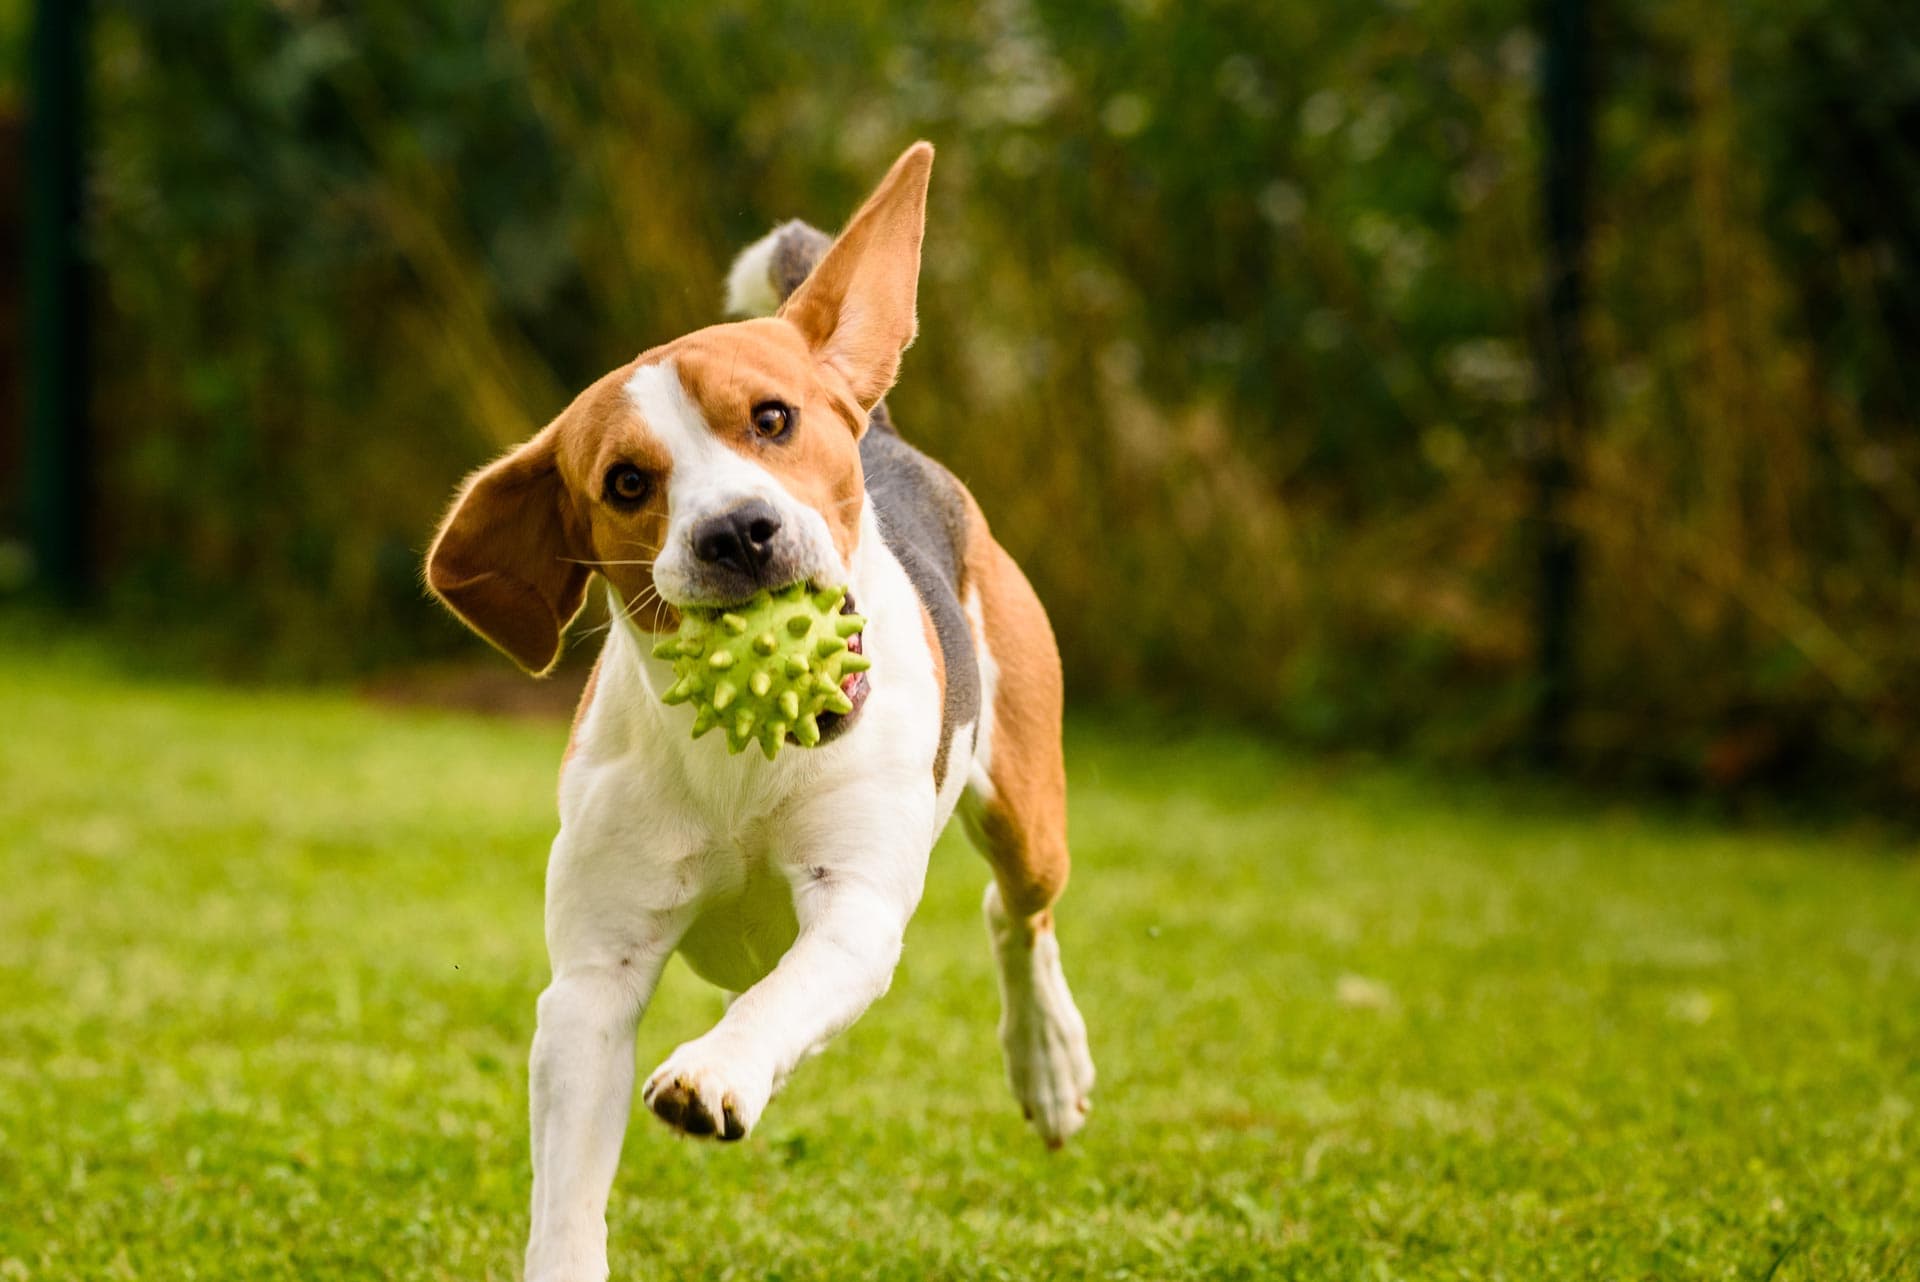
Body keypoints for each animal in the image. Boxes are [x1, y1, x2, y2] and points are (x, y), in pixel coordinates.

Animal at [422, 142, 1098, 1282]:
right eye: (627, 482)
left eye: (773, 419)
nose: (736, 530)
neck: (742, 758)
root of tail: (889, 434)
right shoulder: (591, 983)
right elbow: (566, 1195)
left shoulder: (854, 907)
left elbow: (784, 990)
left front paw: (716, 1072)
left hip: (1022, 804)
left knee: (1019, 911)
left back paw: (1045, 1062)